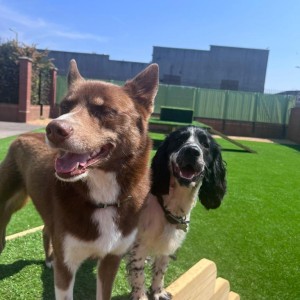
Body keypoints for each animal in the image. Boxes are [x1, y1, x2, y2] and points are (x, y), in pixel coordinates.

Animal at [0, 59, 159, 298]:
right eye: (65, 107)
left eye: (104, 110)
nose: (53, 129)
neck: (102, 197)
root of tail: (22, 135)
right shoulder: (66, 265)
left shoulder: (111, 260)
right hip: (7, 203)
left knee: (46, 230)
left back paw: (49, 259)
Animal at [127, 126, 227, 300]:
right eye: (179, 139)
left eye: (205, 144)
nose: (192, 151)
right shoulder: (139, 245)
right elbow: (138, 275)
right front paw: (141, 296)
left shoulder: (167, 244)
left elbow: (160, 270)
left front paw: (158, 292)